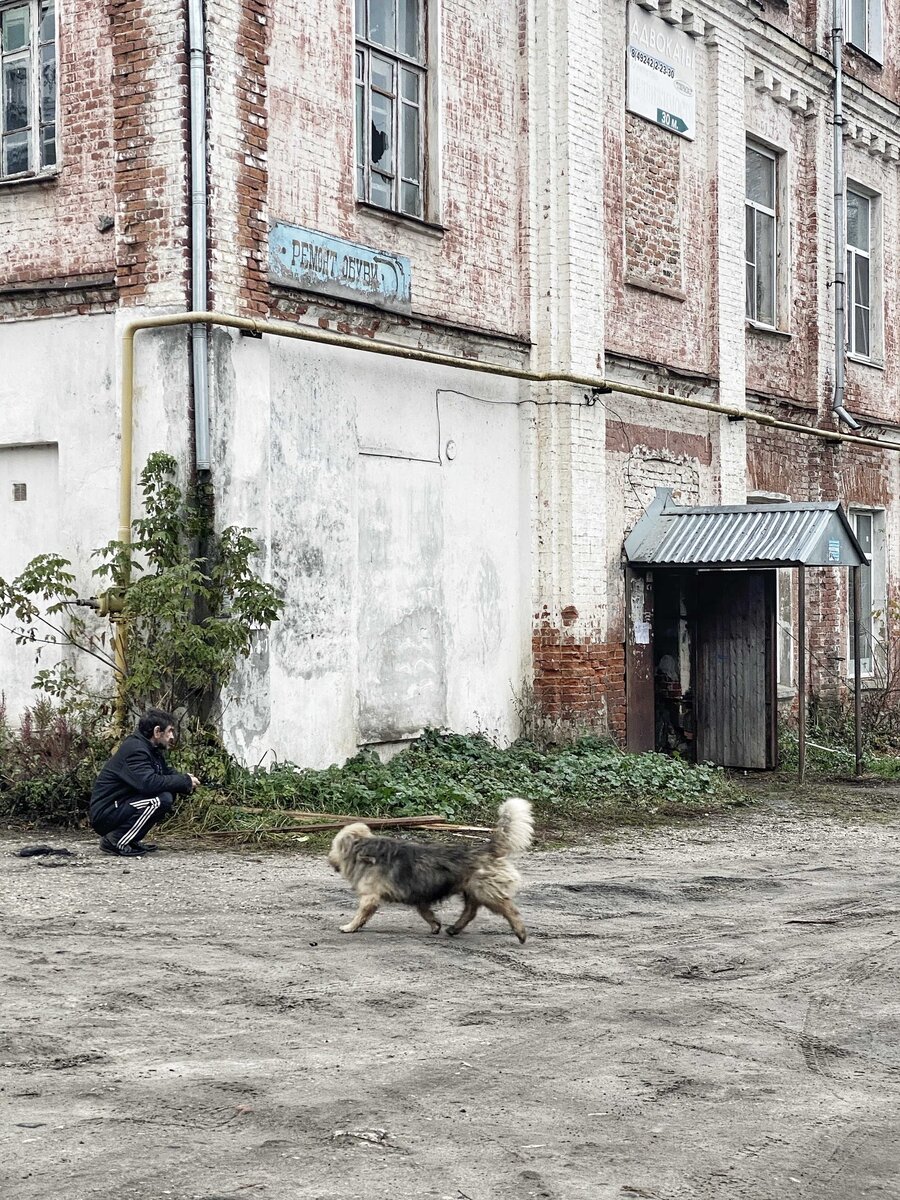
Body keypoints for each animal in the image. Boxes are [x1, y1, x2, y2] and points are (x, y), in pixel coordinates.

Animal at [326, 801, 532, 940]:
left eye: (334, 846)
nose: (329, 859)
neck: (363, 850)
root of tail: (487, 849)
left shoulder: (370, 897)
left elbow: (361, 914)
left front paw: (349, 927)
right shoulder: (420, 897)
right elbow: (427, 913)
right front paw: (435, 925)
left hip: (486, 891)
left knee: (509, 908)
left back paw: (520, 932)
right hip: (471, 890)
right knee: (470, 911)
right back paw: (454, 928)